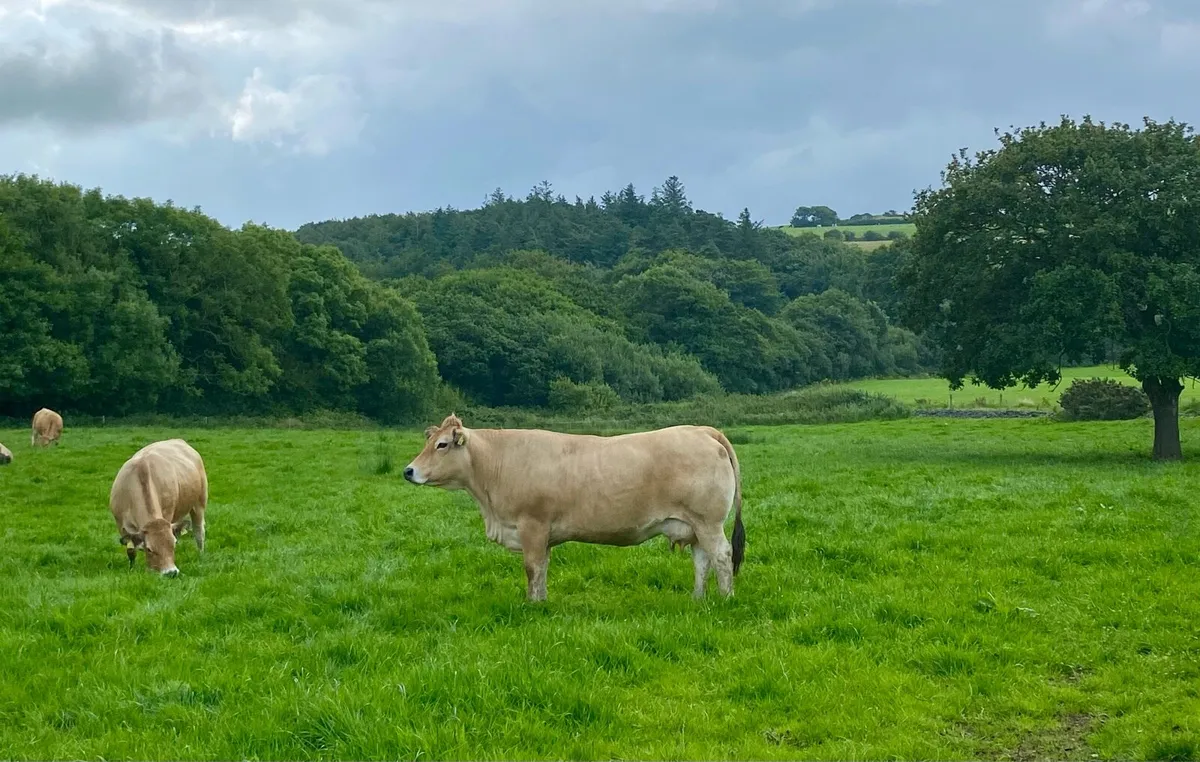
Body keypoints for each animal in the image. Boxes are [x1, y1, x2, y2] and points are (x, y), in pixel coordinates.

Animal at [109, 439, 208, 577]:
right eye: (149, 549)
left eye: (174, 544)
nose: (171, 572)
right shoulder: (121, 524)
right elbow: (131, 550)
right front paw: (132, 569)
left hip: (199, 503)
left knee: (199, 532)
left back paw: (201, 555)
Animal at [403, 413, 745, 602]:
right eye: (429, 442)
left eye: (442, 445)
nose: (408, 471)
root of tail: (701, 430)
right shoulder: (543, 534)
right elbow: (543, 568)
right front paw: (542, 601)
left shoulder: (532, 525)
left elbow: (532, 568)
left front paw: (532, 604)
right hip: (694, 525)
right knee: (701, 560)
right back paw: (698, 599)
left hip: (708, 522)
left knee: (721, 556)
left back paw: (726, 598)